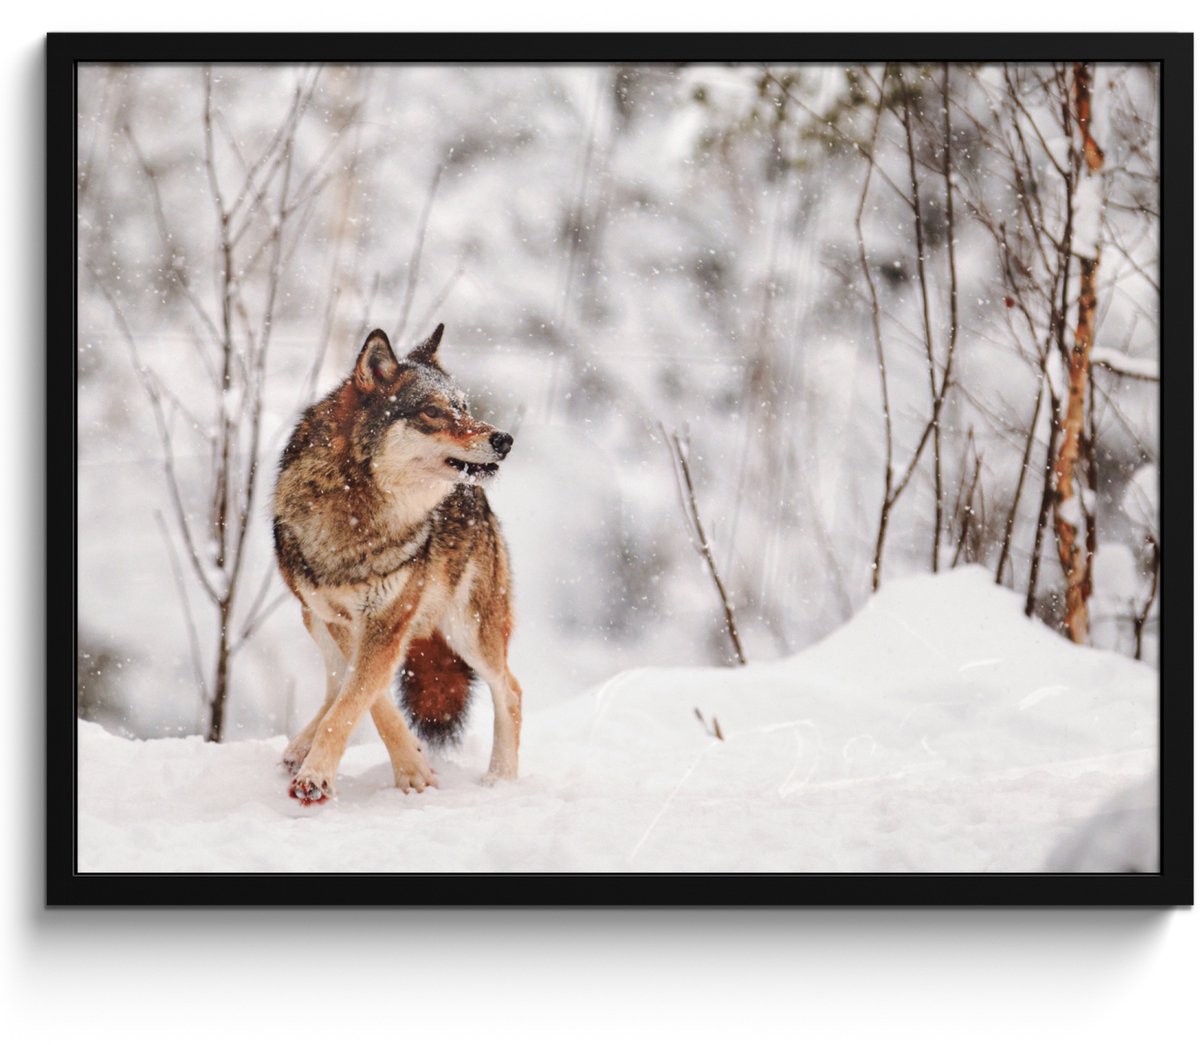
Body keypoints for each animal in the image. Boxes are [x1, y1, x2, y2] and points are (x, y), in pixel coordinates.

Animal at [272, 324, 522, 805]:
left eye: (464, 407)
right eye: (432, 411)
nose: (503, 439)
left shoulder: (387, 621)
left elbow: (355, 701)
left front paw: (319, 777)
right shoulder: (343, 619)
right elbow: (366, 700)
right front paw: (412, 766)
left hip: (468, 631)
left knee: (511, 690)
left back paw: (501, 780)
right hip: (312, 617)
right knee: (334, 683)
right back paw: (298, 747)